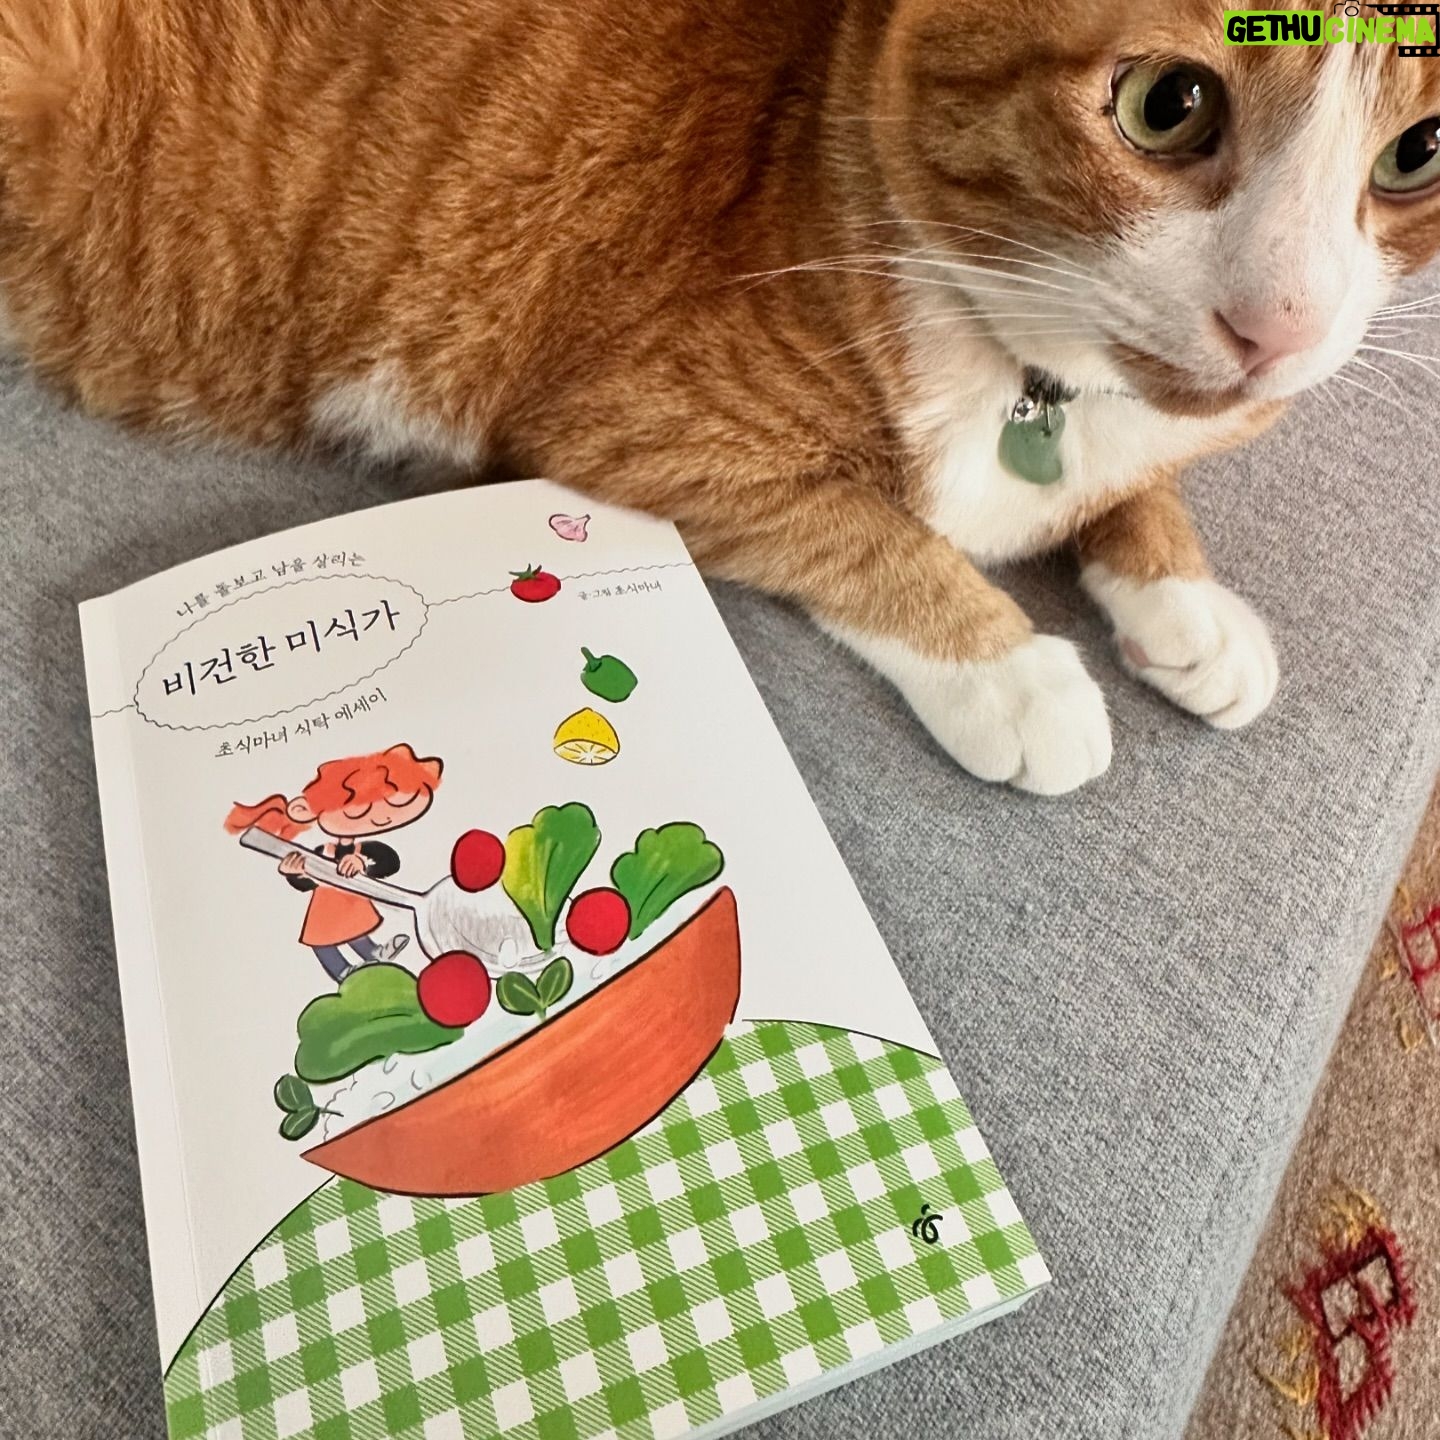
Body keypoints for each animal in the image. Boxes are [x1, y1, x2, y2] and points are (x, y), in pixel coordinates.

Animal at [2, 1, 1437, 792]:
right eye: (1167, 104)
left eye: (1416, 153)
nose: (1285, 326)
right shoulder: (642, 427)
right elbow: (866, 530)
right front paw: (1015, 674)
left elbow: (1140, 485)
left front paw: (1185, 600)